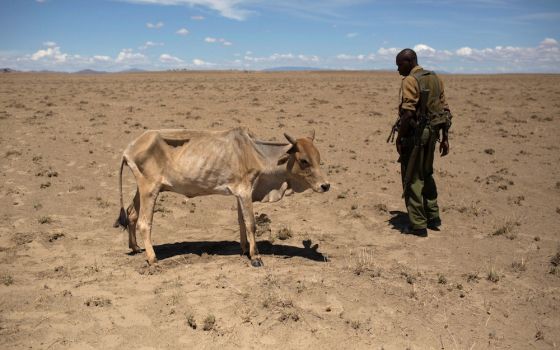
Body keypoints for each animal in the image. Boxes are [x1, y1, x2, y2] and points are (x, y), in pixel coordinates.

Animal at [114, 127, 330, 266]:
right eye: (304, 160)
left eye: (318, 158)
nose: (325, 185)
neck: (256, 153)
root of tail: (129, 149)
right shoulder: (245, 191)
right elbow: (251, 223)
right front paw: (256, 257)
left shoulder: (240, 193)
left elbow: (241, 221)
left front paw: (244, 249)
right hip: (150, 189)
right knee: (143, 223)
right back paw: (152, 259)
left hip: (143, 189)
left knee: (131, 214)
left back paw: (135, 248)